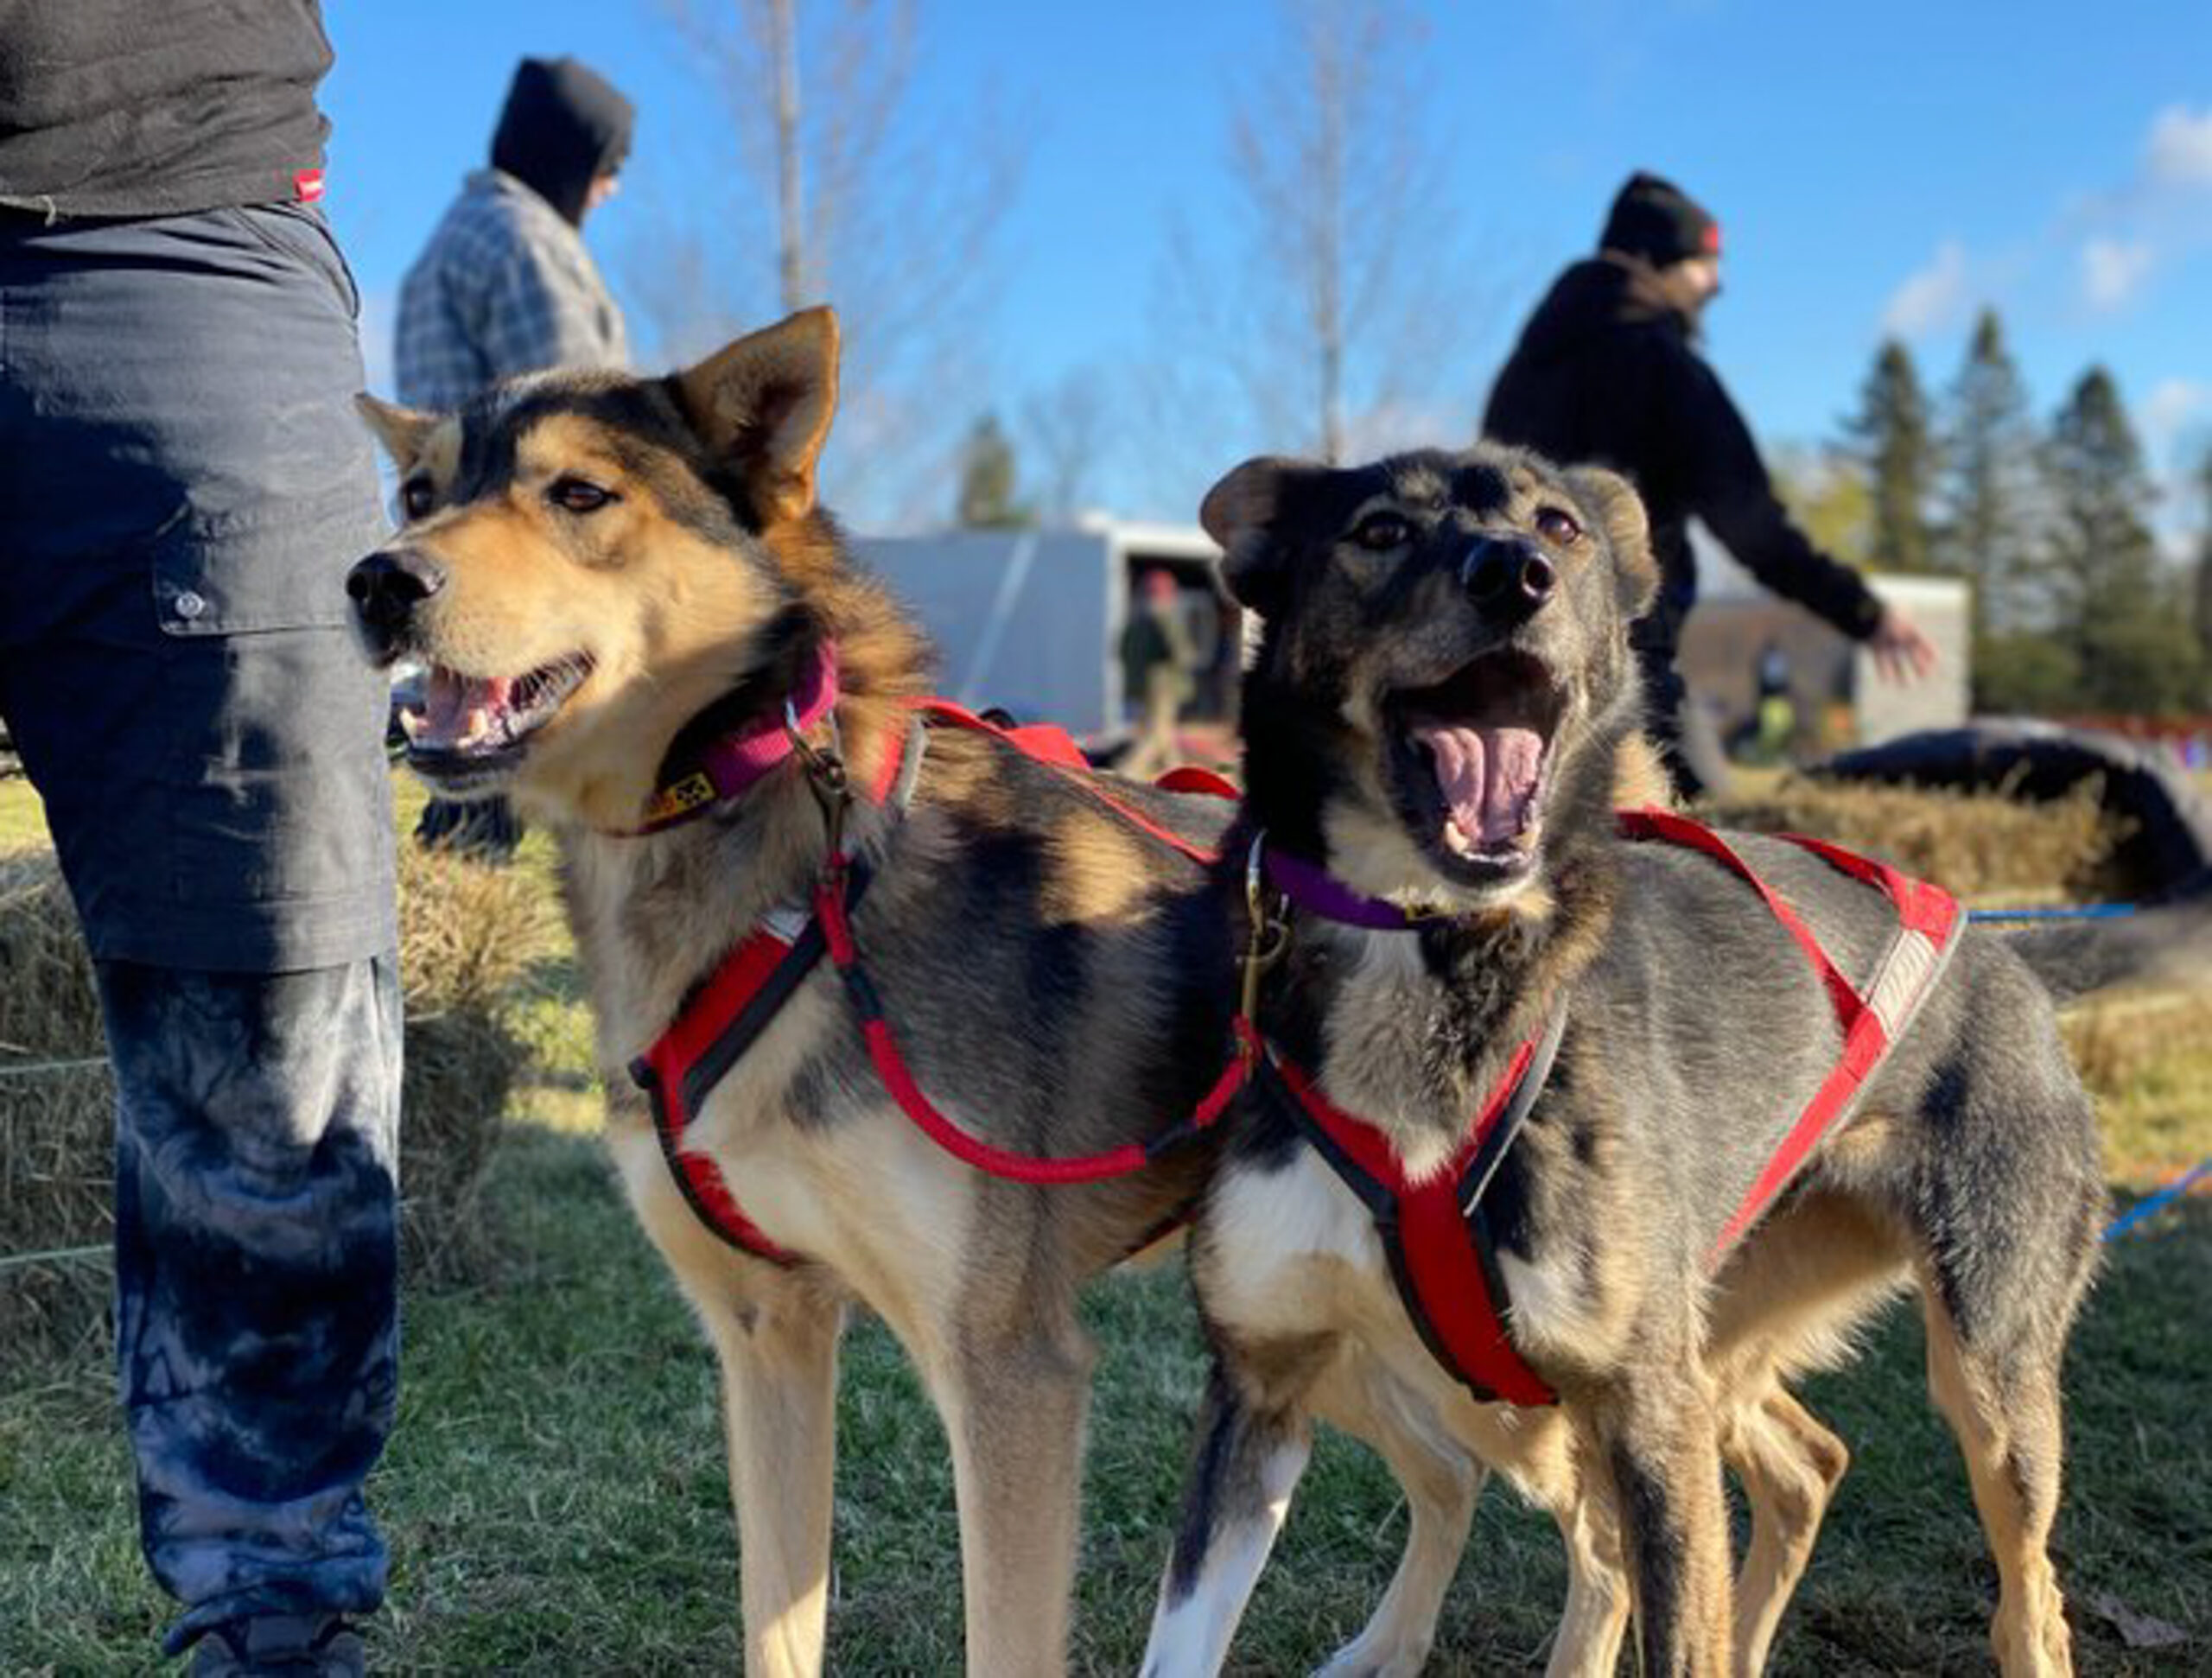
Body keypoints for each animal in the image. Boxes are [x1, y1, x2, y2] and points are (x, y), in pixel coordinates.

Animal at [345, 305, 1247, 1678]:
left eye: (578, 493)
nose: (379, 581)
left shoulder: (1010, 1368)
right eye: (417, 494)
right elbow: (778, 1624)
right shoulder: (767, 1335)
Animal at [1150, 446, 2096, 1678]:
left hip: (1976, 1371)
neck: (1426, 944)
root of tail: (2010, 954)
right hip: (1621, 1359)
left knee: (2025, 1597)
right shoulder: (1261, 1383)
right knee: (1797, 1467)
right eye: (1380, 530)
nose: (1515, 574)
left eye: (1558, 523)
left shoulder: (1645, 1408)